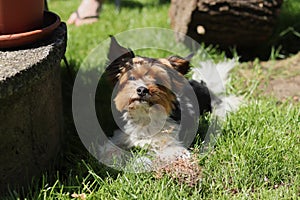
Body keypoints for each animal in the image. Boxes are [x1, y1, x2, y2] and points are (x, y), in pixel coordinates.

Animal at [97, 36, 240, 170]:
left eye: (158, 80)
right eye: (131, 78)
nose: (142, 89)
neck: (144, 116)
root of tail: (202, 84)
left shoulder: (172, 144)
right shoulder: (119, 136)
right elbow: (110, 149)